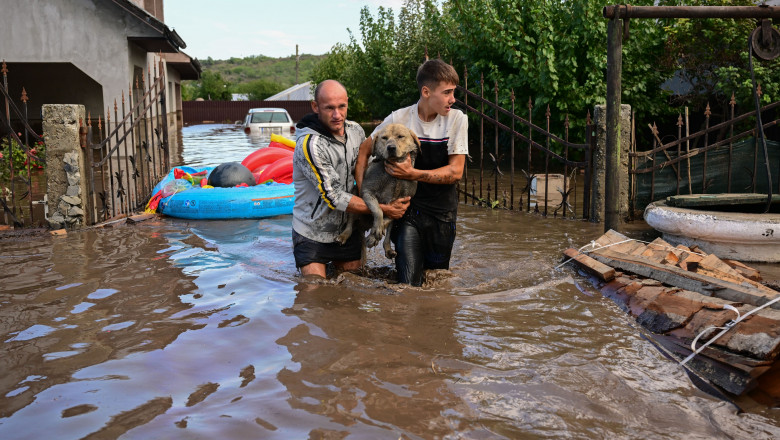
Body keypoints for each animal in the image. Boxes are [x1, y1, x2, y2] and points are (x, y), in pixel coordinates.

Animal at [336, 124, 420, 260]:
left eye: (400, 136)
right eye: (384, 138)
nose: (391, 148)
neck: (394, 174)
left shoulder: (403, 204)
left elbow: (387, 220)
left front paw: (373, 236)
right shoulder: (367, 191)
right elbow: (378, 210)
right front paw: (375, 233)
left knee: (388, 235)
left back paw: (388, 248)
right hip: (353, 196)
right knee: (350, 223)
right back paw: (343, 236)